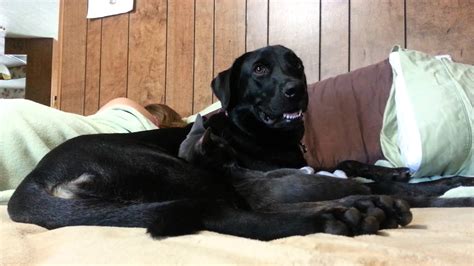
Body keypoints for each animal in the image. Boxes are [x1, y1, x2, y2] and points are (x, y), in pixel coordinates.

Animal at [7, 45, 474, 241]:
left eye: (296, 65)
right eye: (261, 69)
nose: (296, 91)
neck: (257, 131)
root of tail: (33, 180)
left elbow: (351, 161)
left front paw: (397, 170)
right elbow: (397, 184)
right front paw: (445, 186)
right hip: (174, 170)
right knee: (235, 214)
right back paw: (353, 212)